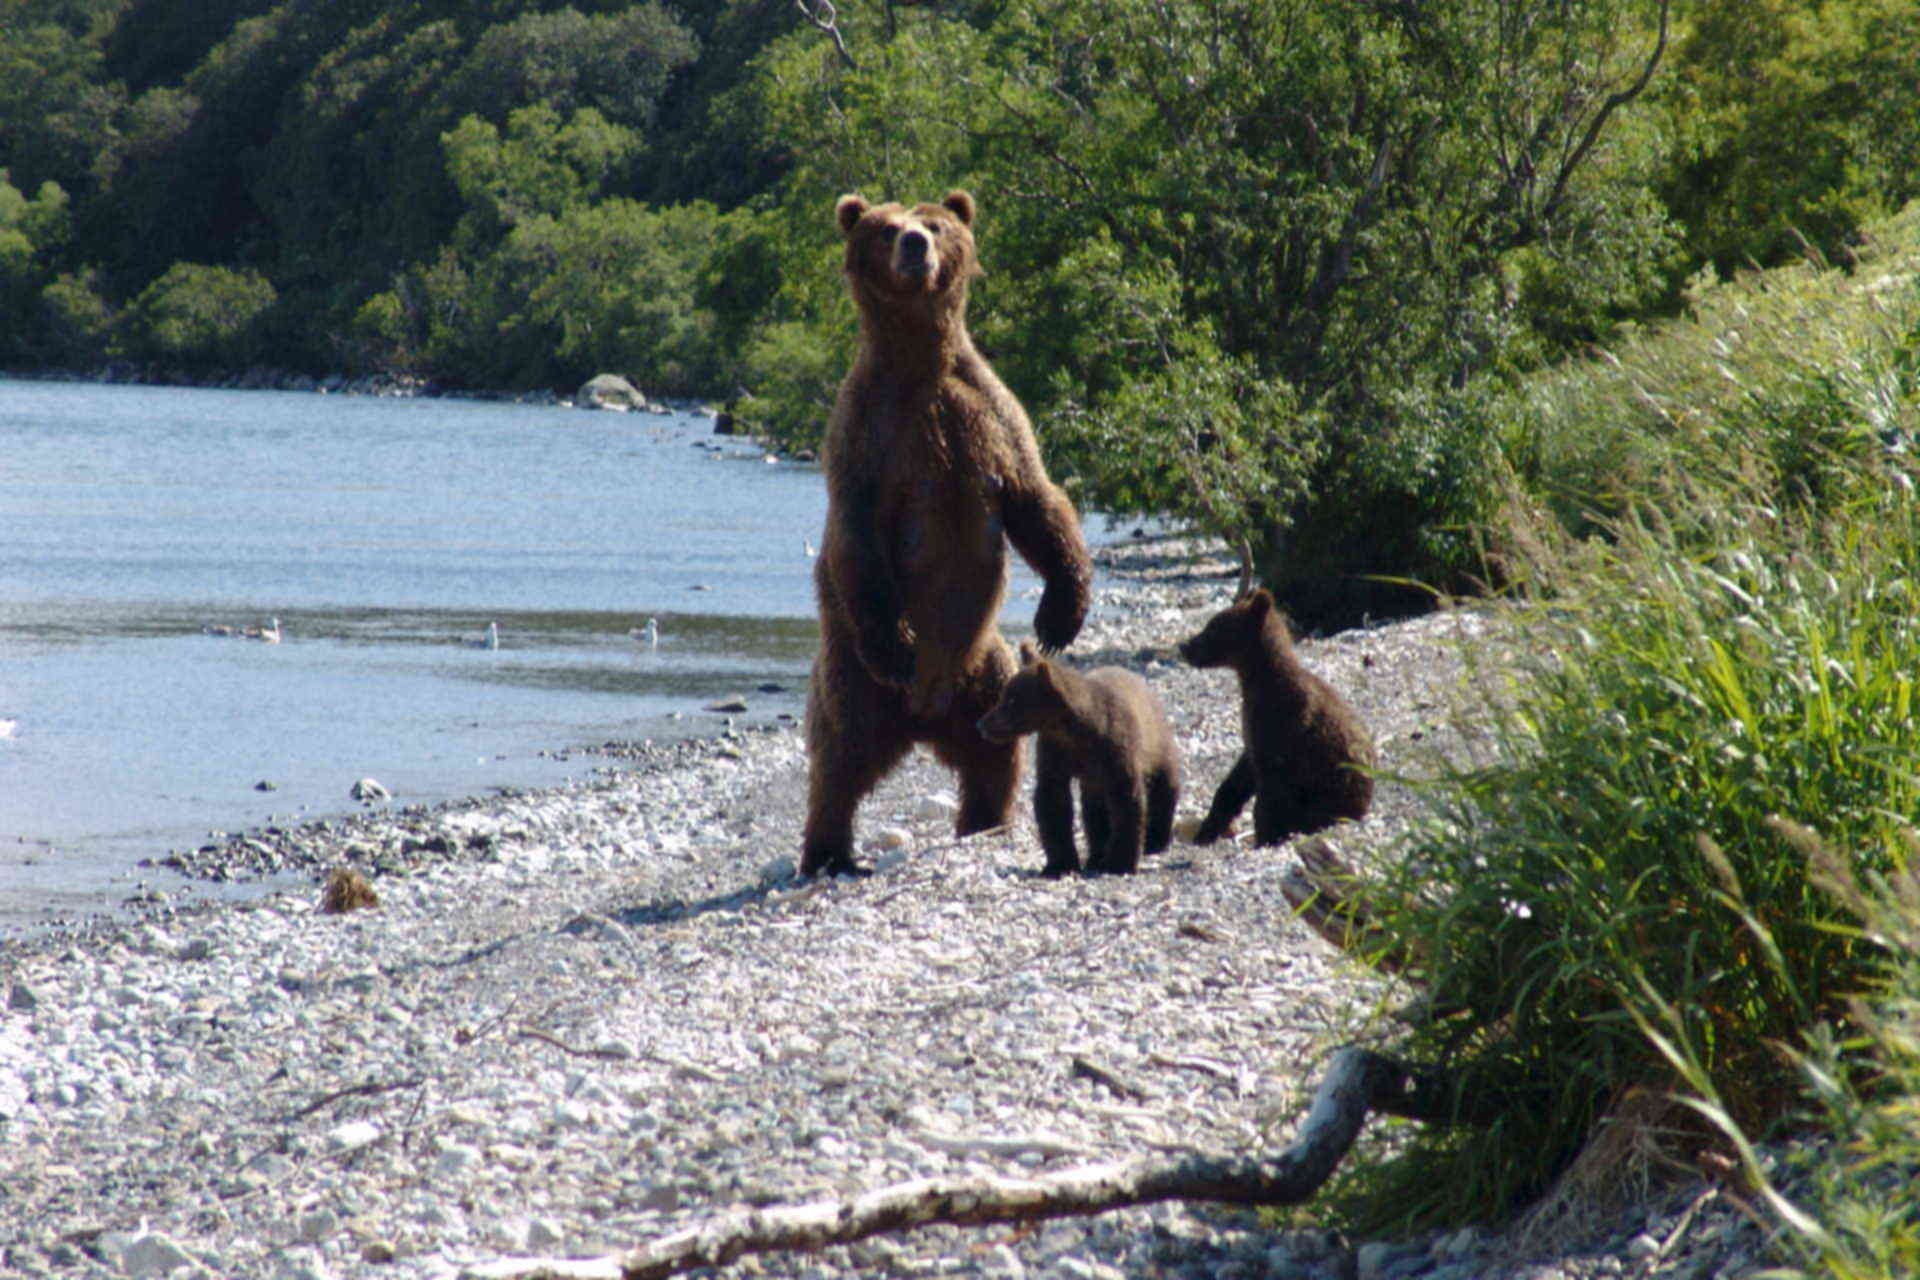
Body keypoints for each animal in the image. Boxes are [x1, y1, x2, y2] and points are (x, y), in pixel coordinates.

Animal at [798, 189, 1098, 875]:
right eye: (885, 228)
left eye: (935, 223)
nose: (915, 244)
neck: (918, 362)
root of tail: (923, 716)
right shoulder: (868, 436)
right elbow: (856, 535)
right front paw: (897, 644)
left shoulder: (988, 415)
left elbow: (1037, 501)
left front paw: (1060, 616)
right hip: (853, 672)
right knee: (839, 756)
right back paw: (827, 852)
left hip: (985, 671)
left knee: (994, 751)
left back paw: (984, 820)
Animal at [983, 640, 1175, 882]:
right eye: (1004, 696)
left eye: (1012, 699)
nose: (982, 724)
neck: (1075, 731)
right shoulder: (1056, 752)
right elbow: (1053, 801)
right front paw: (1059, 864)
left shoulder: (1117, 751)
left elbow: (1127, 802)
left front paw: (1120, 862)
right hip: (1094, 780)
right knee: (1094, 811)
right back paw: (1096, 855)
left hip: (1156, 743)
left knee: (1164, 785)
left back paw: (1156, 840)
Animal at [1175, 591, 1374, 852]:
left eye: (1214, 627)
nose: (1185, 646)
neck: (1258, 681)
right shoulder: (1253, 731)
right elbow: (1237, 780)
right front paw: (1208, 830)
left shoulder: (1281, 727)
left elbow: (1269, 797)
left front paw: (1264, 837)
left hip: (1329, 792)